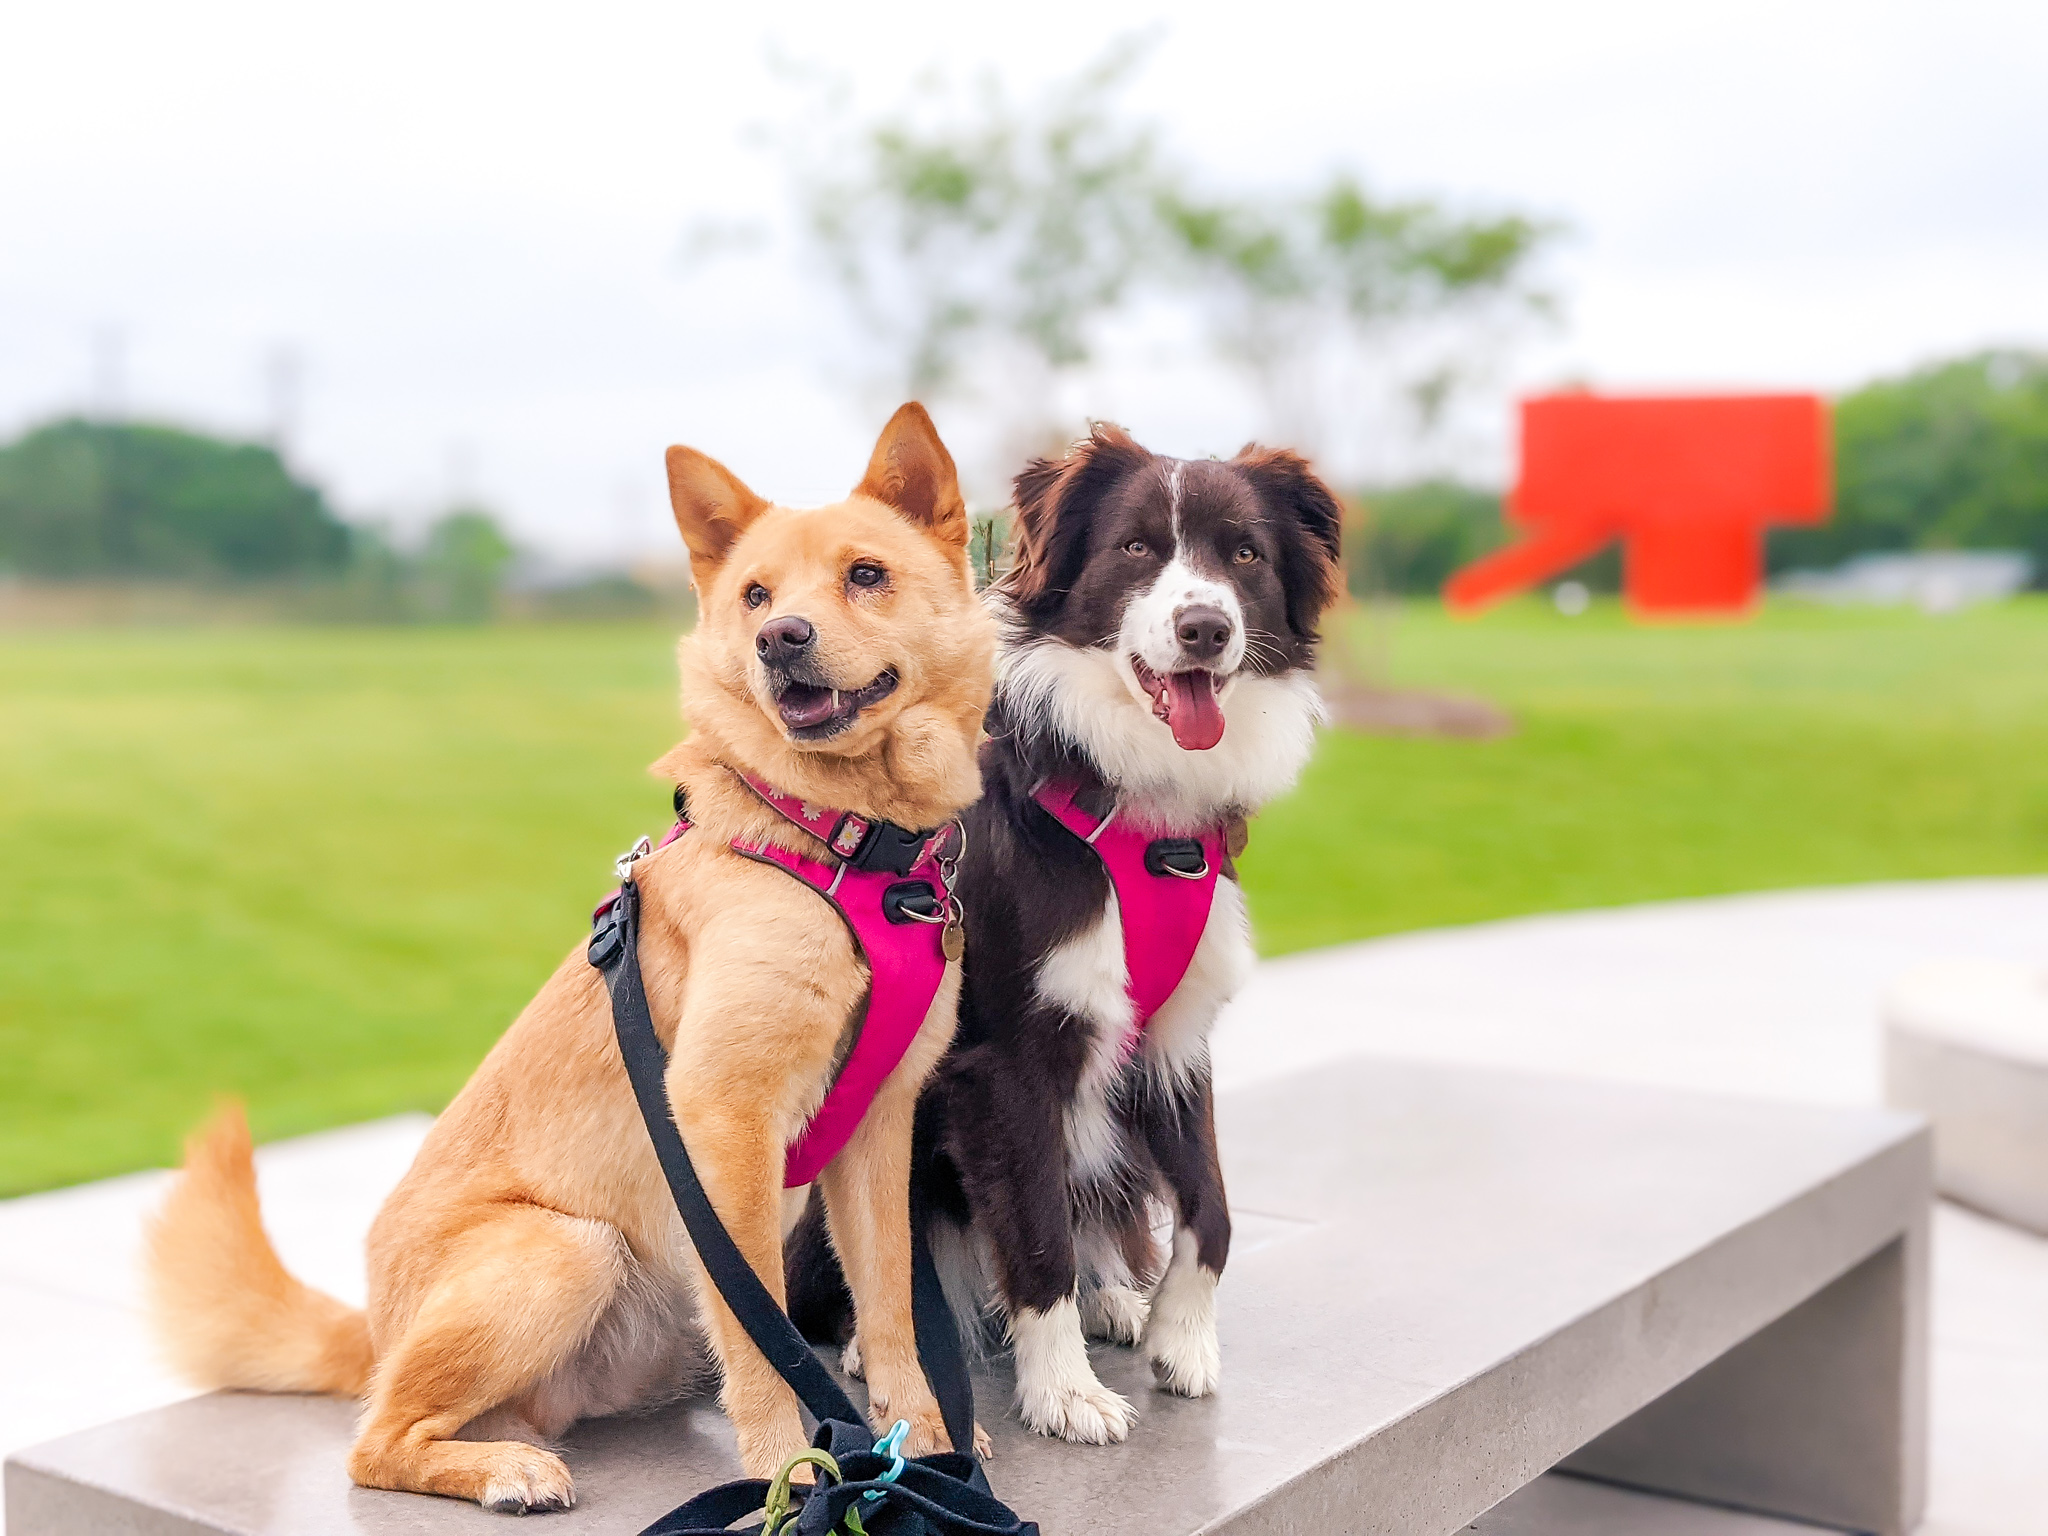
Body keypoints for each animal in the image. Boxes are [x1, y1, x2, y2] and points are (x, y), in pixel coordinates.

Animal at [148, 405, 995, 1515]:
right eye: (756, 596)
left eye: (865, 575)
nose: (780, 640)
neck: (838, 844)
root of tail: (373, 1331)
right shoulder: (721, 1122)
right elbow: (764, 1337)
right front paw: (789, 1471)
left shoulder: (878, 1126)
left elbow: (890, 1308)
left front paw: (924, 1444)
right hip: (564, 1246)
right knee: (375, 1442)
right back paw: (503, 1467)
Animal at [790, 430, 1351, 1441]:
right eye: (1134, 548)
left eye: (1245, 555)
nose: (1204, 628)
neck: (1140, 811)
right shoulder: (1007, 1062)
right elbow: (1037, 1232)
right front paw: (1064, 1393)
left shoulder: (1176, 1041)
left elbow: (1211, 1207)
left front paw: (1179, 1337)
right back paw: (873, 1346)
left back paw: (1113, 1301)